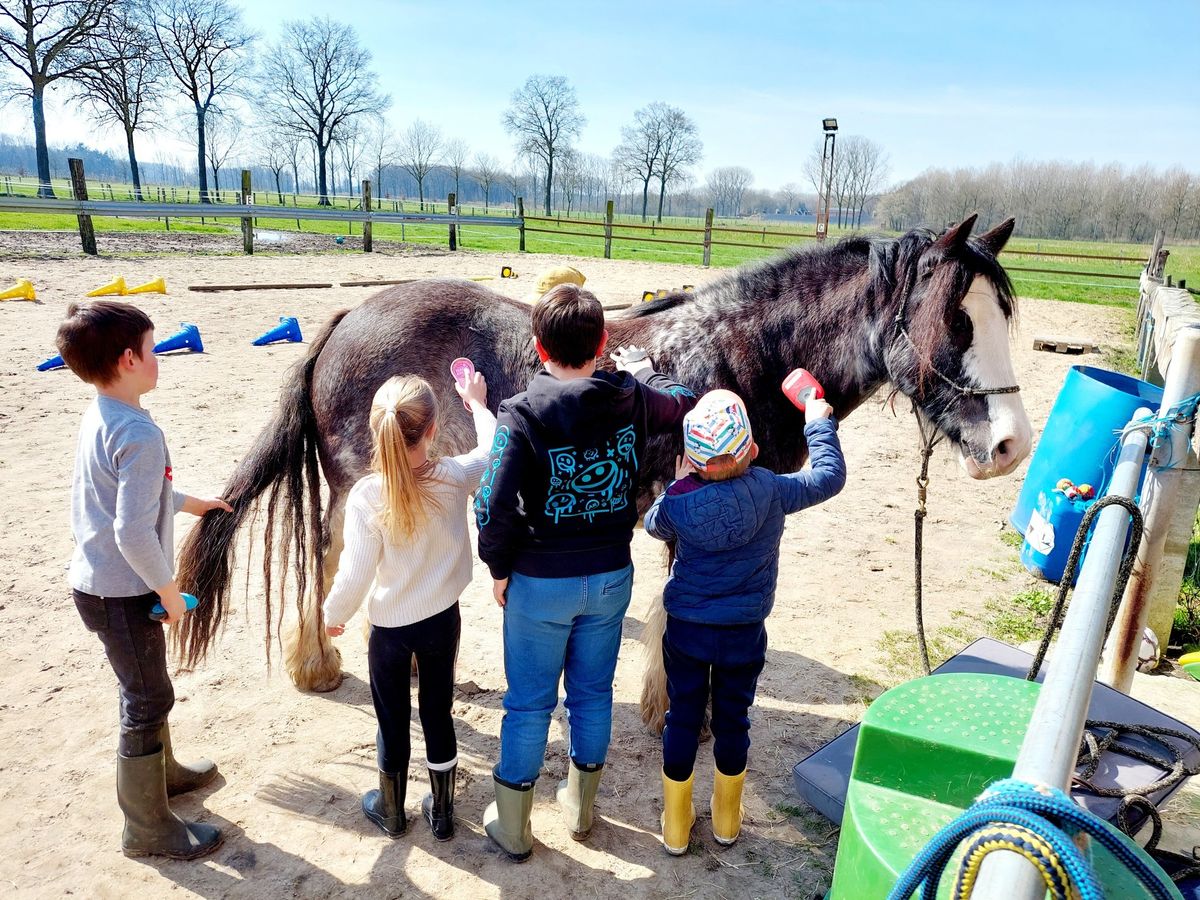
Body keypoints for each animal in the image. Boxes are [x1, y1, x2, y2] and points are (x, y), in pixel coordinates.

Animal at [175, 213, 1032, 734]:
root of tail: (351, 316)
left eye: (1002, 316)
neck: (741, 354)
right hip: (361, 483)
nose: (1012, 446)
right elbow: (676, 611)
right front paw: (671, 710)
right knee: (328, 555)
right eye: (956, 319)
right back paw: (316, 664)